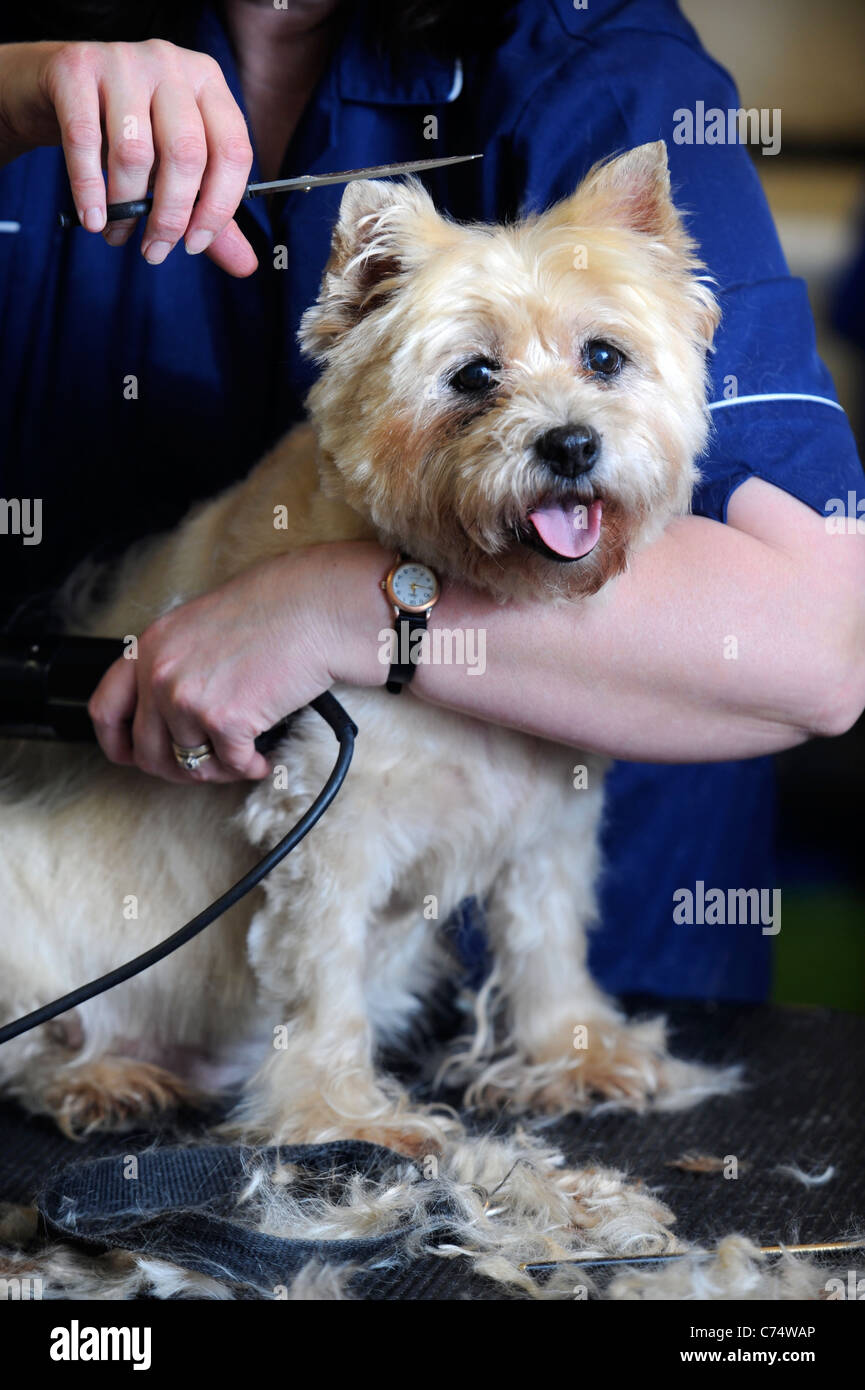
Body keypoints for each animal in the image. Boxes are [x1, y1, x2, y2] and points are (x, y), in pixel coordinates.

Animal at [0, 138, 734, 1150]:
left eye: (603, 356)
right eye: (473, 376)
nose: (571, 446)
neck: (478, 620)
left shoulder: (549, 821)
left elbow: (545, 938)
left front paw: (574, 1053)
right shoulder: (324, 828)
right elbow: (321, 981)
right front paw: (336, 1112)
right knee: (35, 1042)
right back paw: (99, 1077)